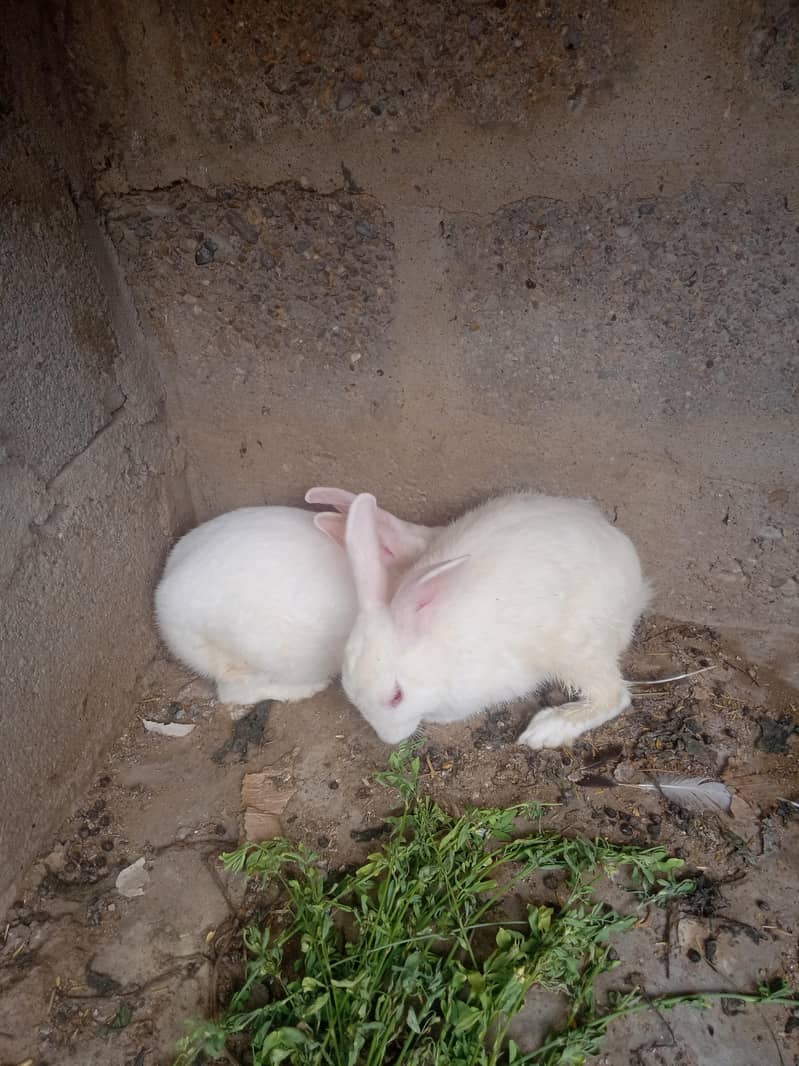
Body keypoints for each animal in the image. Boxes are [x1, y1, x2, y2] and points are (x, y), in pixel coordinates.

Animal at [334, 491, 651, 749]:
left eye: (396, 696)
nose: (389, 739)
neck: (437, 654)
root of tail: (635, 580)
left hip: (577, 649)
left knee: (614, 695)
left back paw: (546, 730)